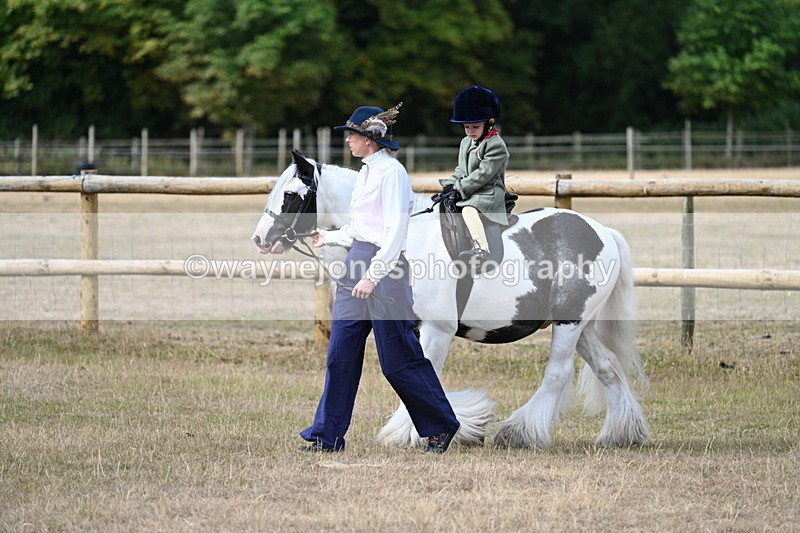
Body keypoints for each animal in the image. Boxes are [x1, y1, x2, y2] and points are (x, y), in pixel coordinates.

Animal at [252, 151, 650, 449]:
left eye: (291, 195)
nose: (259, 238)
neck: (400, 240)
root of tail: (603, 232)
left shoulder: (437, 328)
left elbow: (422, 375)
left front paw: (413, 432)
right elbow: (417, 377)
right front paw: (459, 425)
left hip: (569, 324)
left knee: (557, 374)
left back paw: (519, 432)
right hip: (581, 327)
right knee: (607, 368)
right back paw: (621, 434)